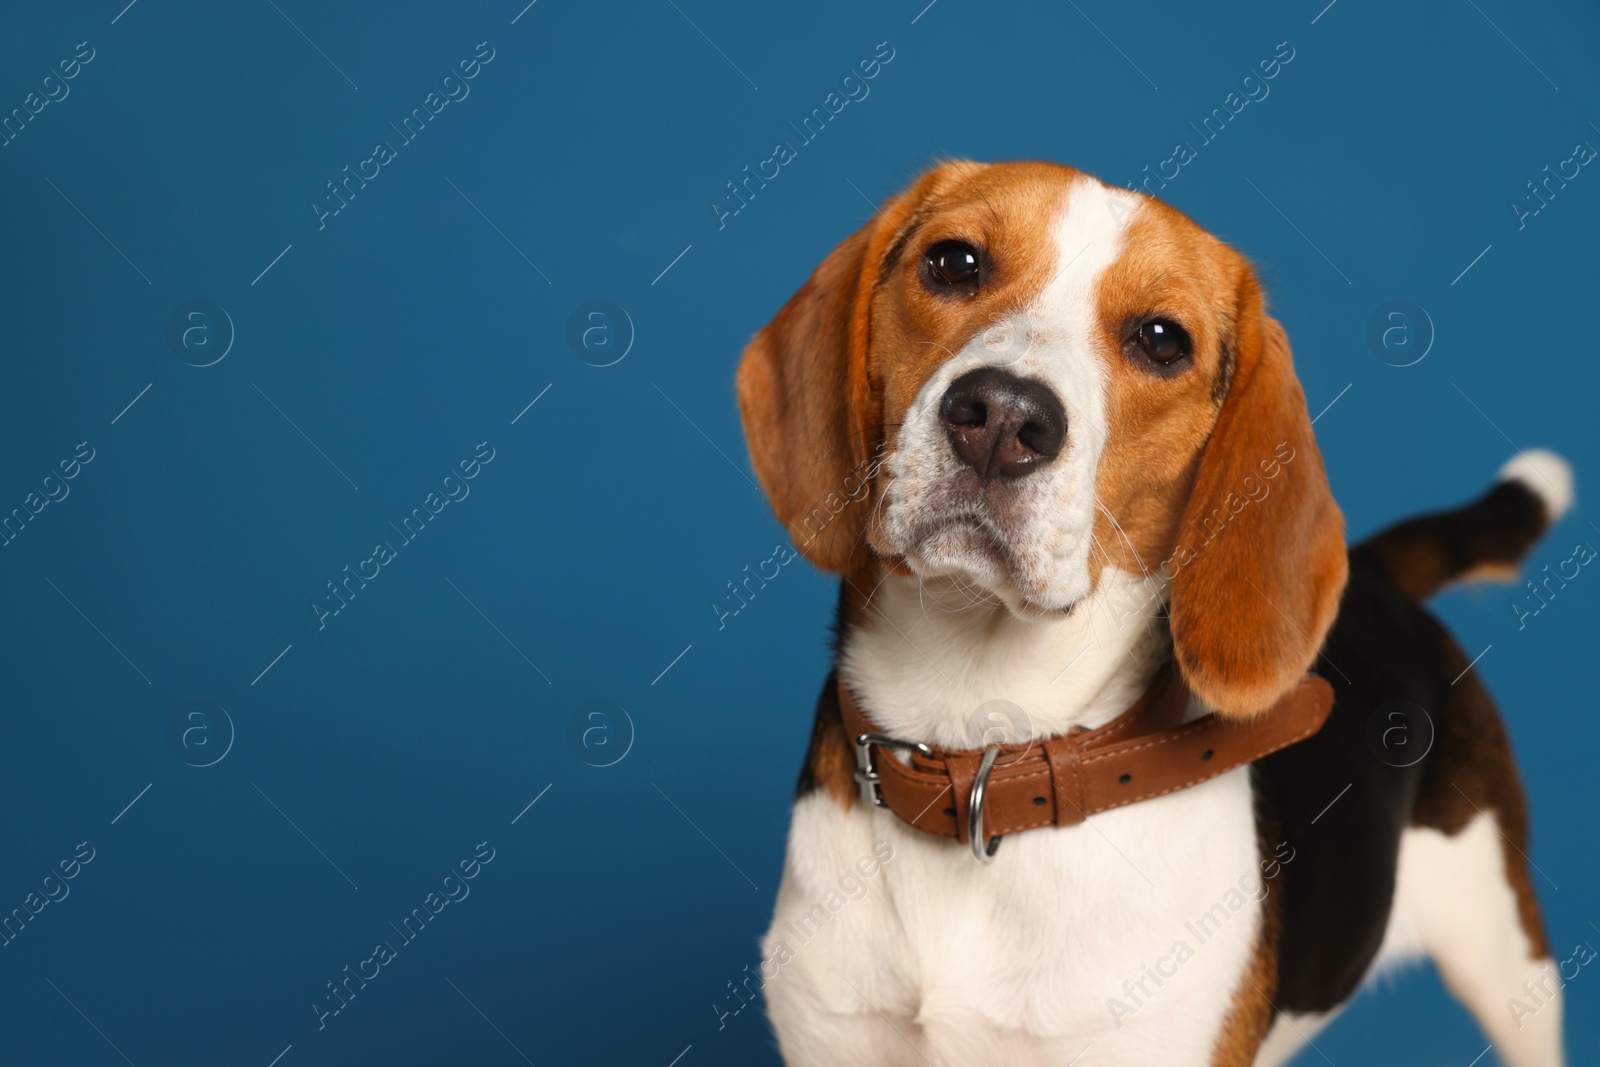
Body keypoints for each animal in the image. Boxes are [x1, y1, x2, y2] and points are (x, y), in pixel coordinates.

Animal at [739, 160, 1574, 1067]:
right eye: (954, 263)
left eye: (1162, 339)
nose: (1003, 416)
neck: (983, 740)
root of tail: (1380, 575)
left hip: (1508, 964)